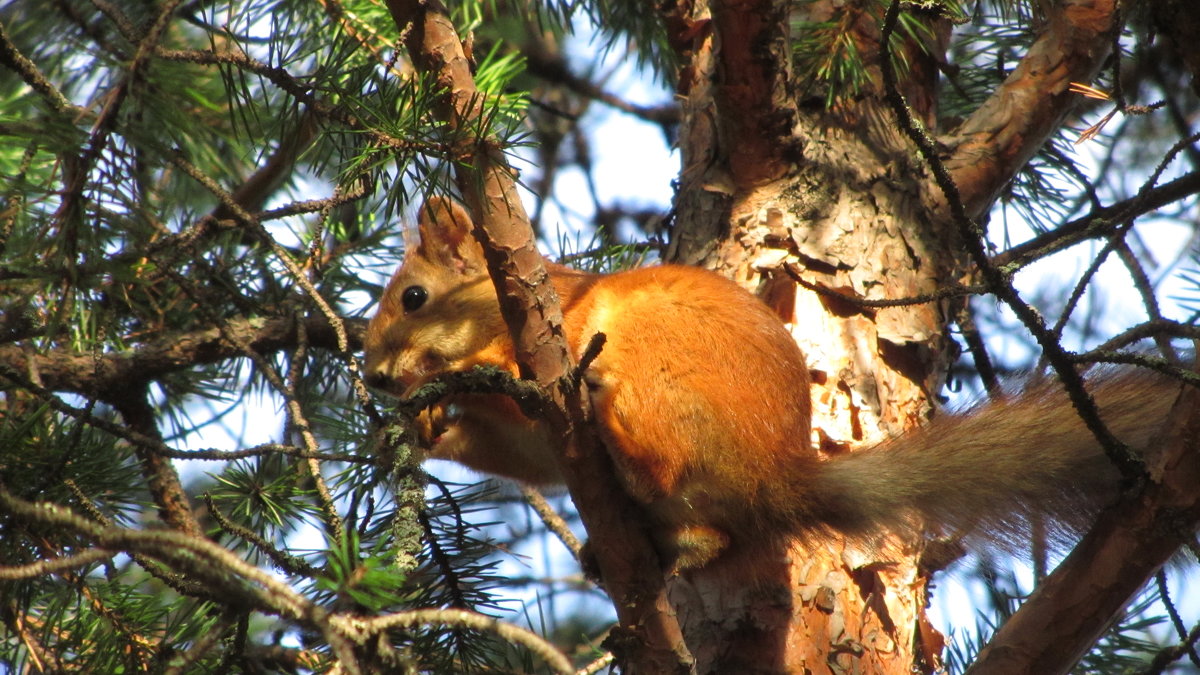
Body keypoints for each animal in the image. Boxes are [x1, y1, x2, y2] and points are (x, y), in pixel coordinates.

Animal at [364, 196, 1180, 569]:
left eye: (413, 297)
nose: (372, 379)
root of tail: (773, 474)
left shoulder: (553, 333)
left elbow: (512, 386)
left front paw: (461, 384)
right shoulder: (523, 448)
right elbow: (508, 453)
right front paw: (420, 432)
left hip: (659, 380)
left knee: (658, 461)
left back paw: (614, 430)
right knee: (705, 538)